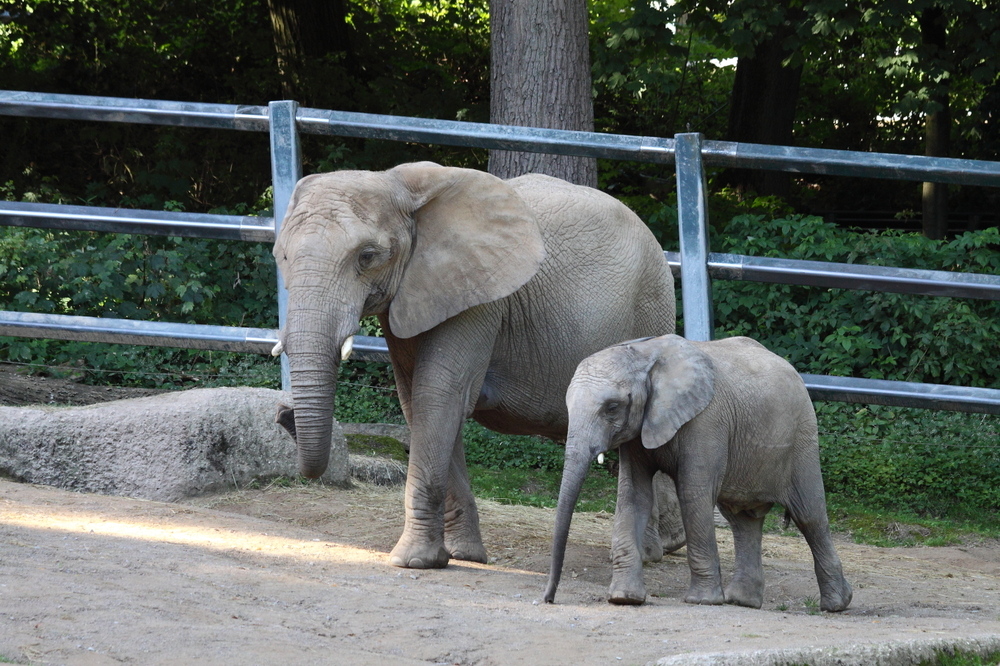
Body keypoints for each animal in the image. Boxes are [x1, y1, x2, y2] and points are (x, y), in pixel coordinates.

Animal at [274, 160, 676, 564]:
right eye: (283, 257)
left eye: (367, 256)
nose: (282, 413)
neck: (398, 184)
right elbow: (418, 403)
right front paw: (462, 555)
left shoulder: (480, 299)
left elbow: (439, 397)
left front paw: (413, 561)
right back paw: (667, 545)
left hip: (651, 305)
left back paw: (649, 553)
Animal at [548, 334, 852, 608]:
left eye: (612, 407)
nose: (549, 599)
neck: (644, 352)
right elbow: (633, 496)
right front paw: (624, 598)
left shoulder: (705, 420)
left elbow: (693, 493)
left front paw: (702, 600)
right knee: (743, 519)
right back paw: (742, 602)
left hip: (803, 436)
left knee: (809, 515)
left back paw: (836, 605)